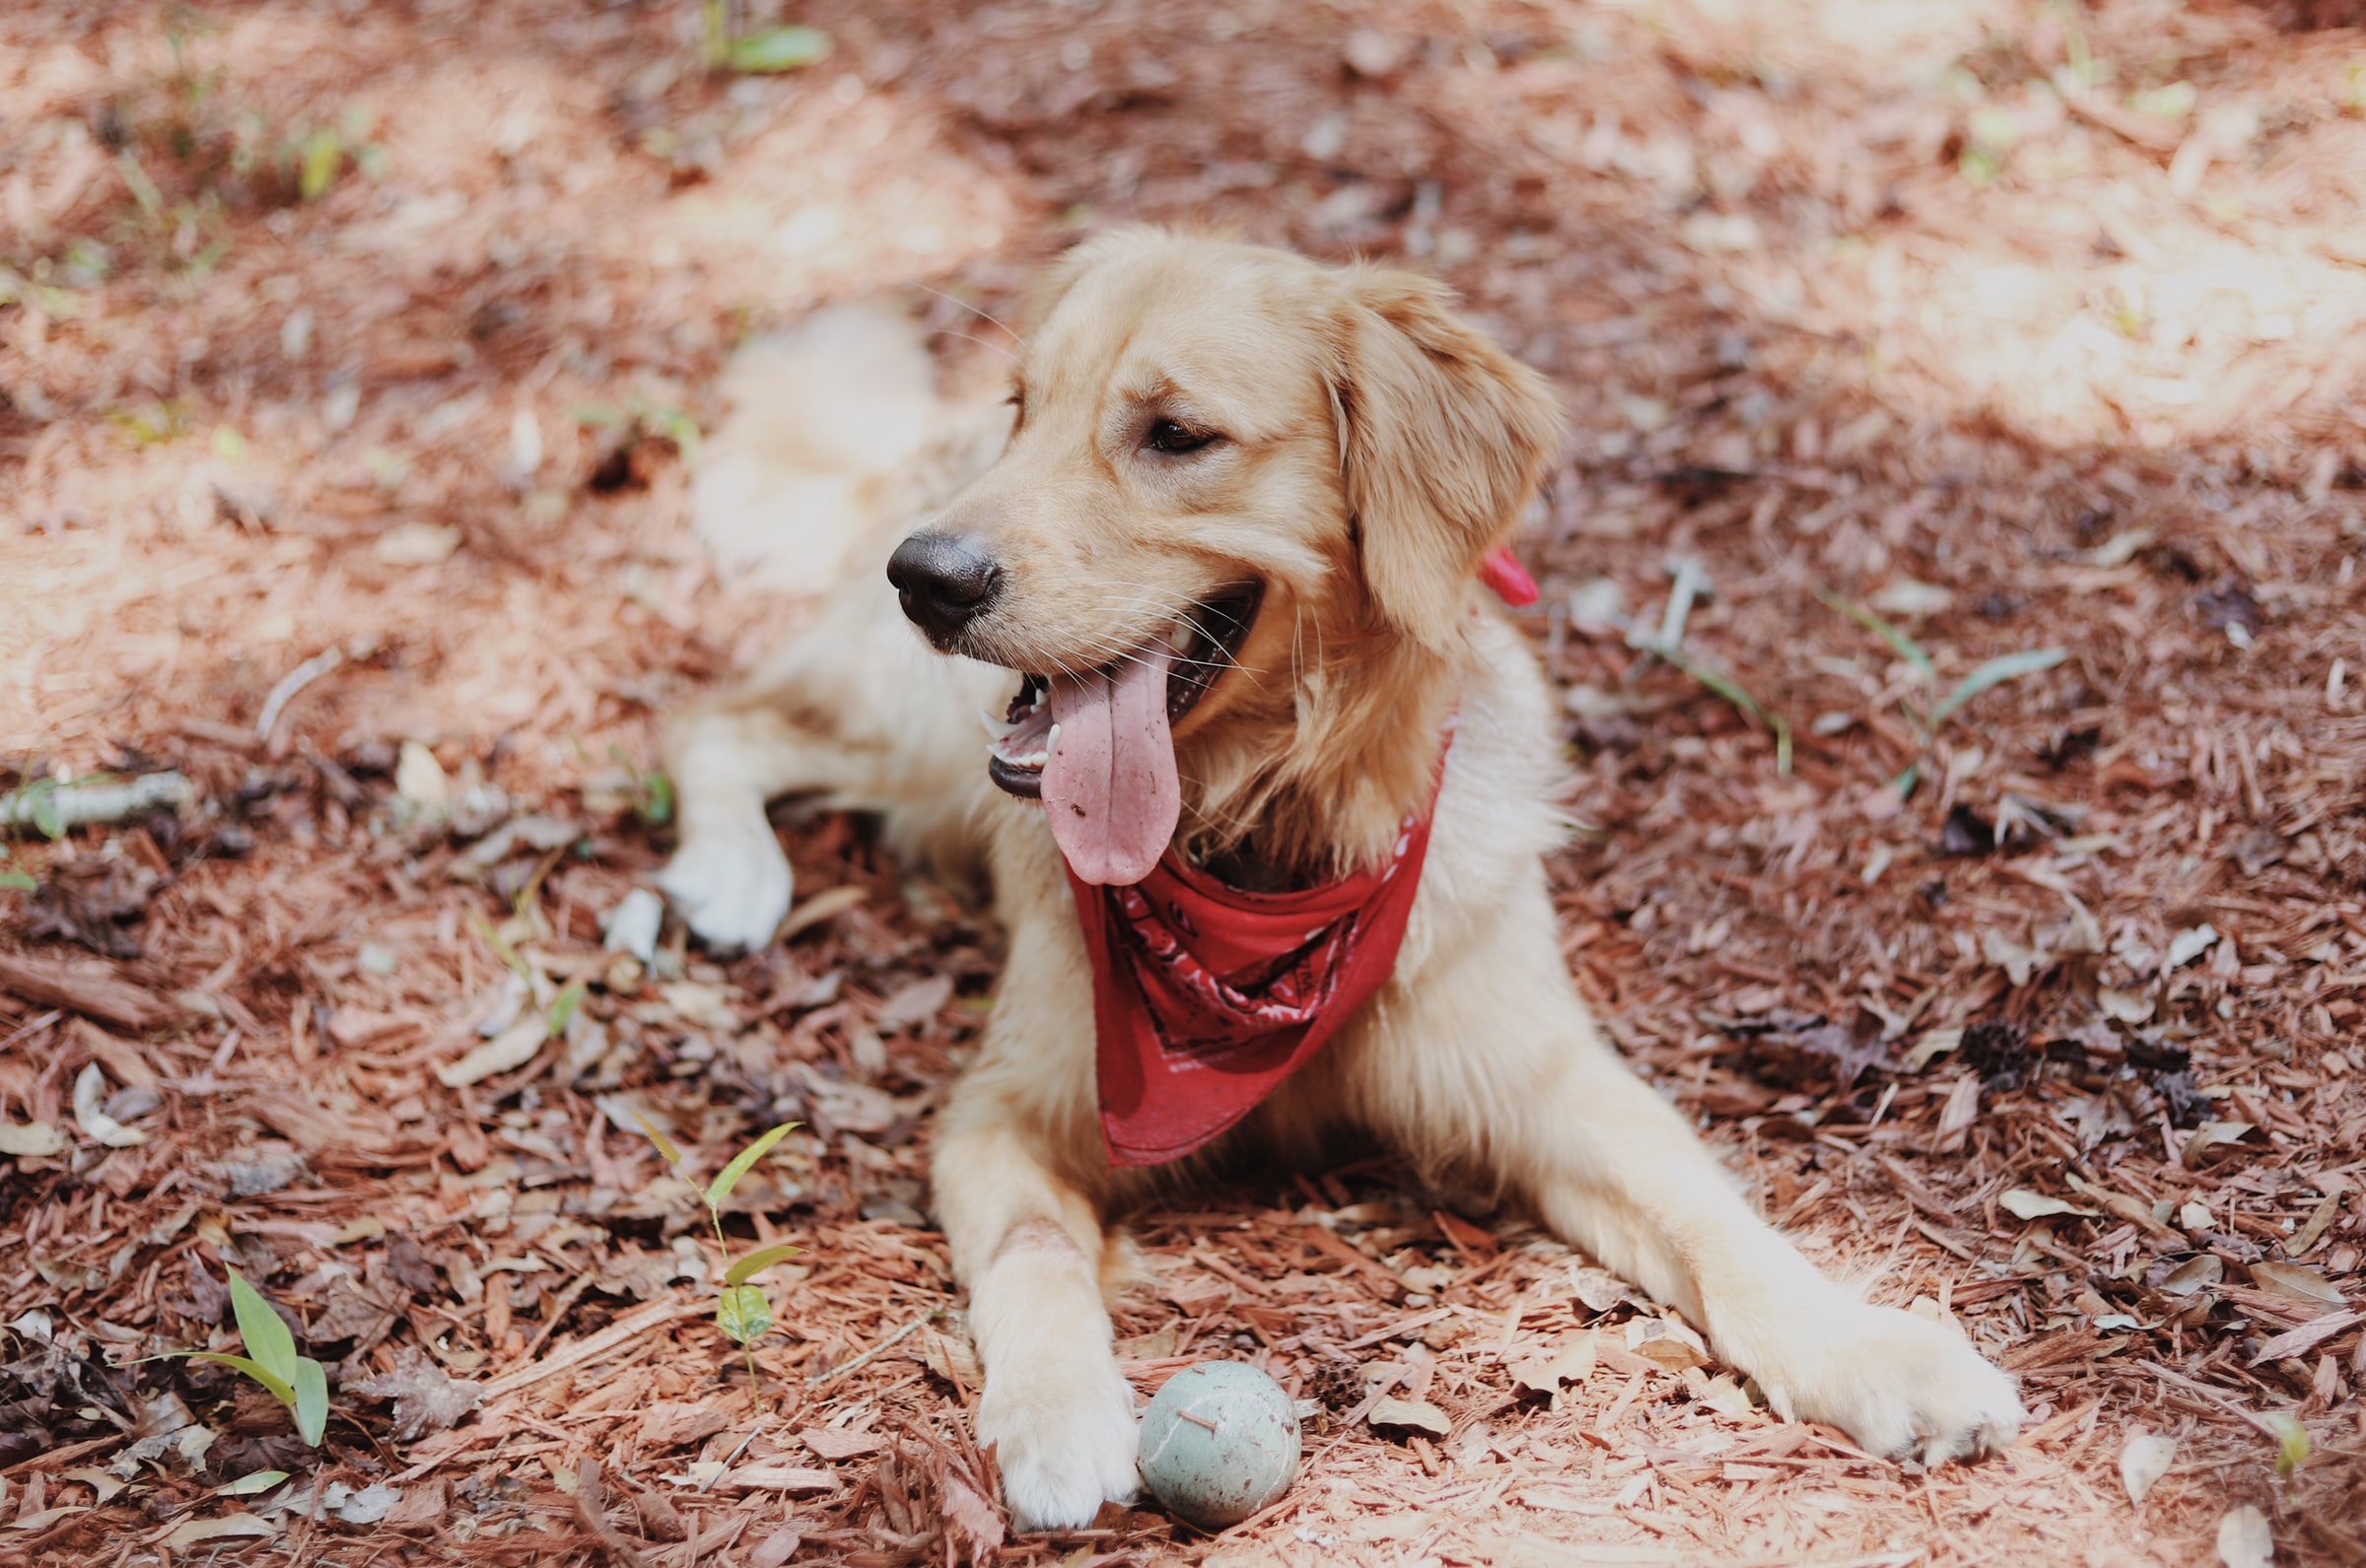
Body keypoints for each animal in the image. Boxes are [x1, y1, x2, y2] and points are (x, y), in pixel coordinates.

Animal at [658, 227, 2025, 1523]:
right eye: (1022, 409)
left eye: (1175, 434)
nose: (927, 576)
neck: (1268, 851)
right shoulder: (999, 1110)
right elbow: (1037, 1245)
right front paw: (1056, 1417)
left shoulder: (1538, 1072)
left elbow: (1711, 1214)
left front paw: (1870, 1349)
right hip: (923, 734)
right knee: (723, 718)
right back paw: (729, 875)